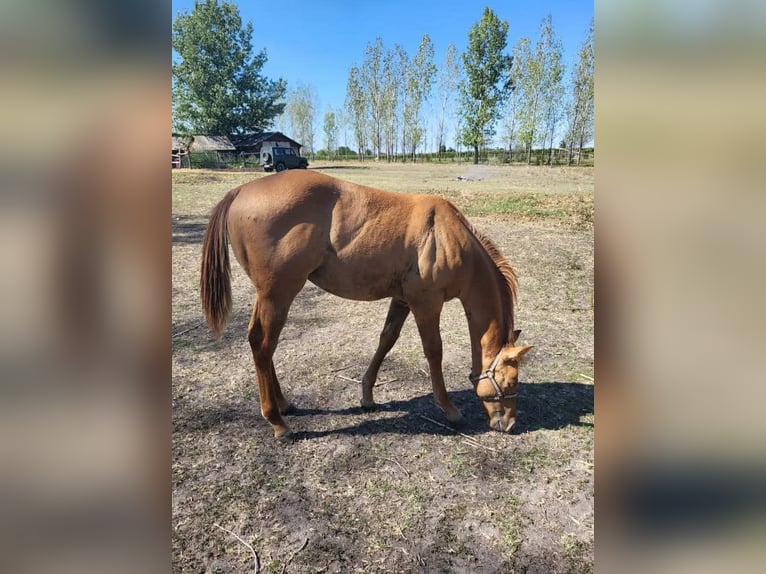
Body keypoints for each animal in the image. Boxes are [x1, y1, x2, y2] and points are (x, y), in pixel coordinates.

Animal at [200, 170, 532, 439]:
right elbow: (434, 351)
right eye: (511, 383)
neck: (446, 236)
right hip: (278, 293)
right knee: (263, 344)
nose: (510, 424)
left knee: (262, 344)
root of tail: (240, 190)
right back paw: (277, 422)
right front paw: (449, 408)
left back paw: (283, 404)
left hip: (269, 295)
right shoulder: (426, 303)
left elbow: (386, 340)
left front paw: (367, 395)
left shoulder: (402, 299)